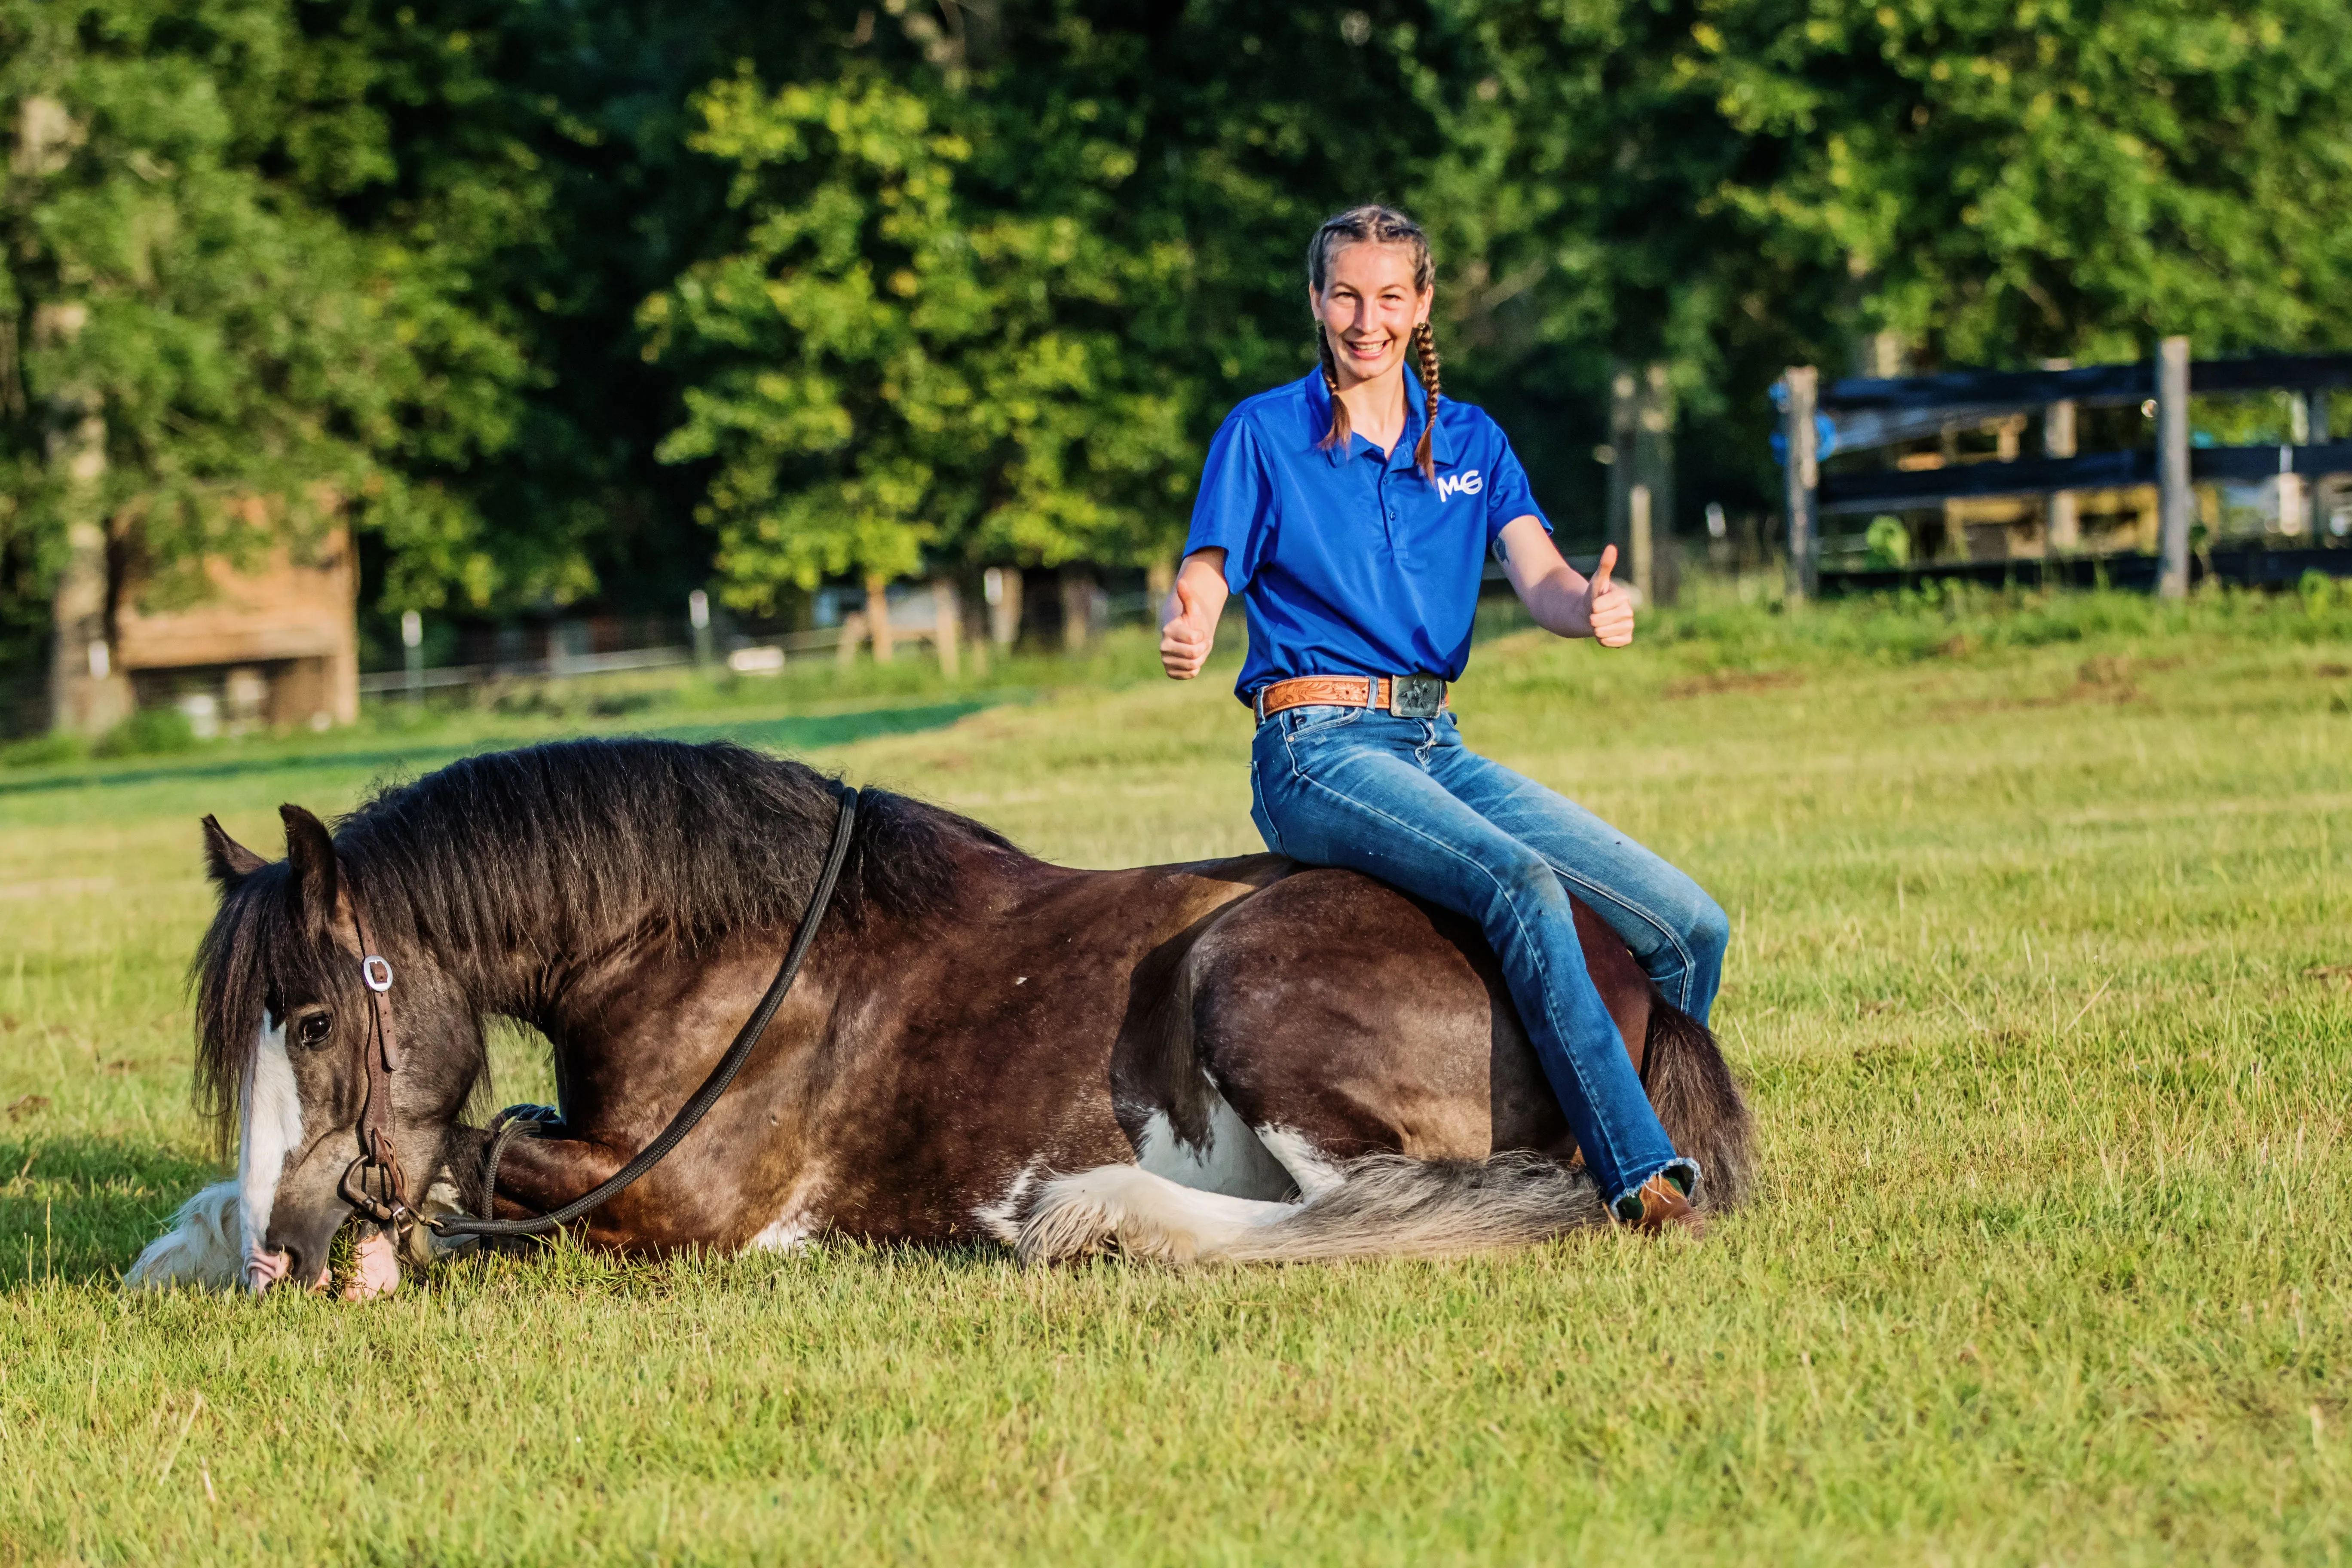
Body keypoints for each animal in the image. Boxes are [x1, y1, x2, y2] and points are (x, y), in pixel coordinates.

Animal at [124, 729, 1750, 1298]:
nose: (286, 1252)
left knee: (1383, 1207)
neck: (716, 941)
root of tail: (1605, 958)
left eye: (314, 1020)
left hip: (1256, 990)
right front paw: (191, 1245)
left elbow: (483, 1146)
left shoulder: (682, 1200)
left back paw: (1090, 1214)